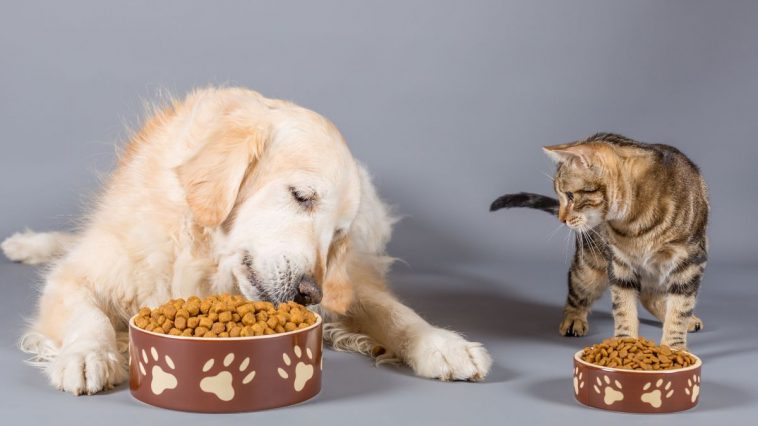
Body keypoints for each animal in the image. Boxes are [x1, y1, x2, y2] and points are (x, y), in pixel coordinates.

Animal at [1, 87, 492, 396]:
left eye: (337, 235)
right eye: (302, 196)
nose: (310, 293)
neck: (203, 256)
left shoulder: (348, 281)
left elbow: (394, 312)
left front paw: (443, 345)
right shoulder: (79, 275)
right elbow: (88, 316)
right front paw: (88, 356)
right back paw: (27, 245)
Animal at [492, 134, 712, 350]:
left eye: (570, 196)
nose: (562, 219)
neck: (635, 221)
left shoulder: (689, 262)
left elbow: (679, 310)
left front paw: (673, 349)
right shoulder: (620, 263)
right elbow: (624, 310)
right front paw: (625, 343)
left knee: (652, 297)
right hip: (589, 267)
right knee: (578, 292)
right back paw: (573, 319)